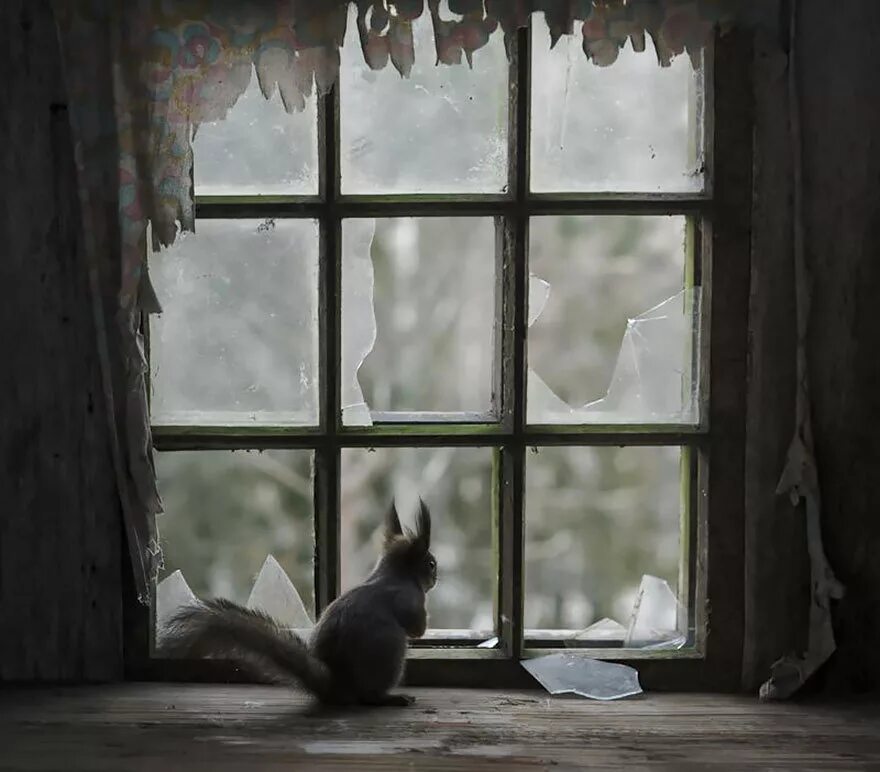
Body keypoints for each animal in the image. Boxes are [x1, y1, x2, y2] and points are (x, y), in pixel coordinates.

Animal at [158, 499, 437, 707]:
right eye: (431, 563)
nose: (436, 577)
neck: (392, 573)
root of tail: (336, 685)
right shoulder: (410, 598)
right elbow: (416, 628)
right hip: (390, 653)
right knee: (370, 696)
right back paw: (391, 698)